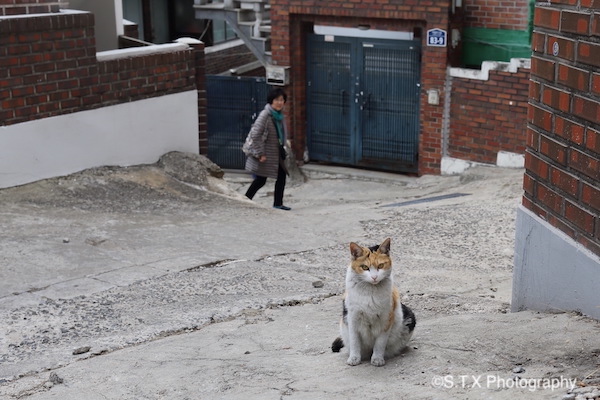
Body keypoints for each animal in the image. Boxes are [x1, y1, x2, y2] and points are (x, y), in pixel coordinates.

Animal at [330, 238, 414, 366]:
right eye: (365, 267)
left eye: (381, 265)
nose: (374, 277)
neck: (371, 291)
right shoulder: (353, 318)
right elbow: (354, 341)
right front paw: (354, 358)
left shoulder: (386, 320)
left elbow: (380, 342)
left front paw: (377, 359)